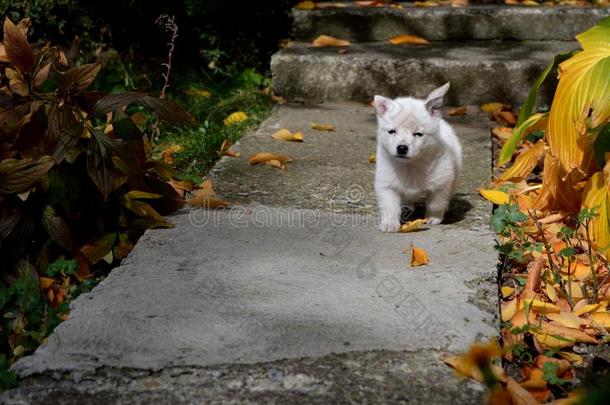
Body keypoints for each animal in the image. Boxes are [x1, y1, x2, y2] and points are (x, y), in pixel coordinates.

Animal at [370, 83, 460, 230]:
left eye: (418, 134)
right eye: (391, 131)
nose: (402, 148)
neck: (411, 166)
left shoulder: (442, 183)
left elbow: (436, 203)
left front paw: (433, 217)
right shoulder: (386, 185)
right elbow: (390, 206)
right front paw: (389, 223)